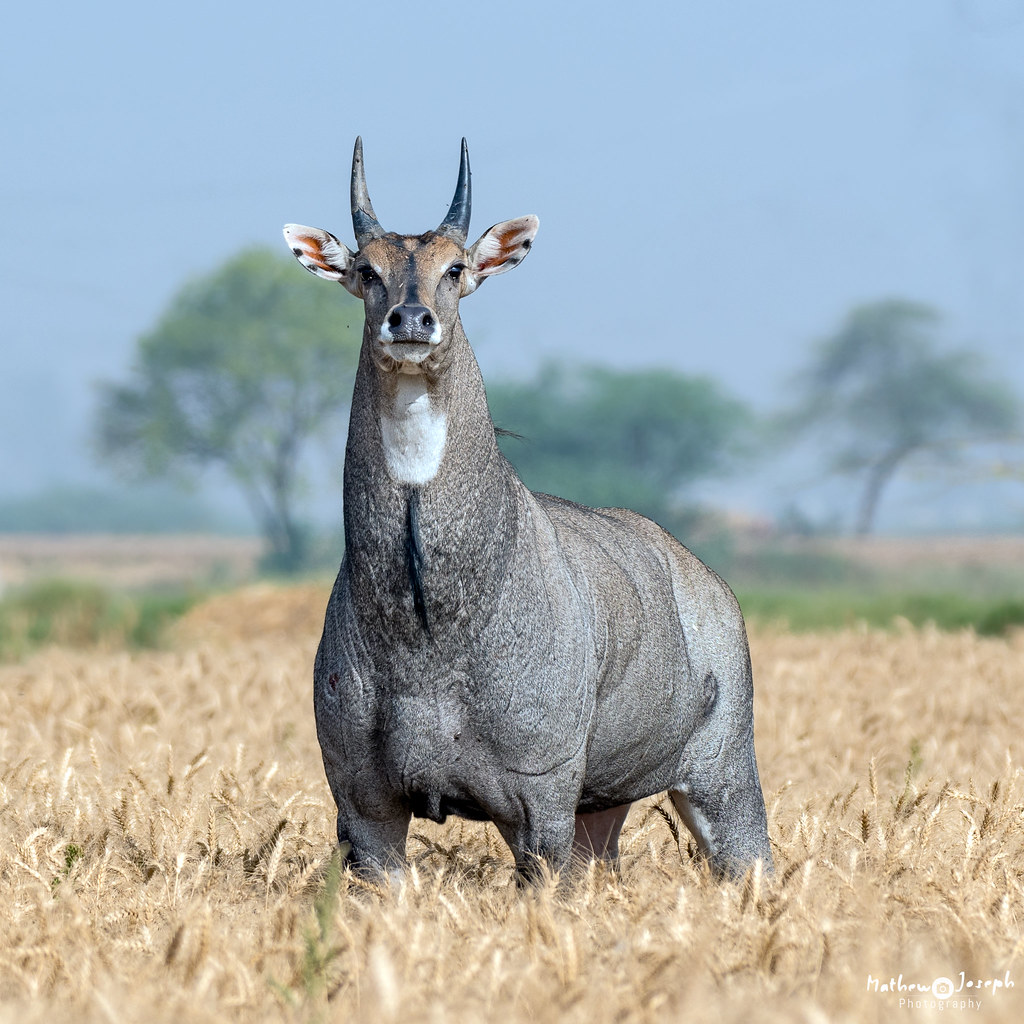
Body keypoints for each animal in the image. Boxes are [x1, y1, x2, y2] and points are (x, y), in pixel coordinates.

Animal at [284, 140, 770, 884]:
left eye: (454, 269)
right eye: (368, 271)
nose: (411, 321)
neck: (426, 625)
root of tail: (707, 582)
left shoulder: (537, 809)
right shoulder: (367, 815)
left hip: (722, 780)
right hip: (600, 811)